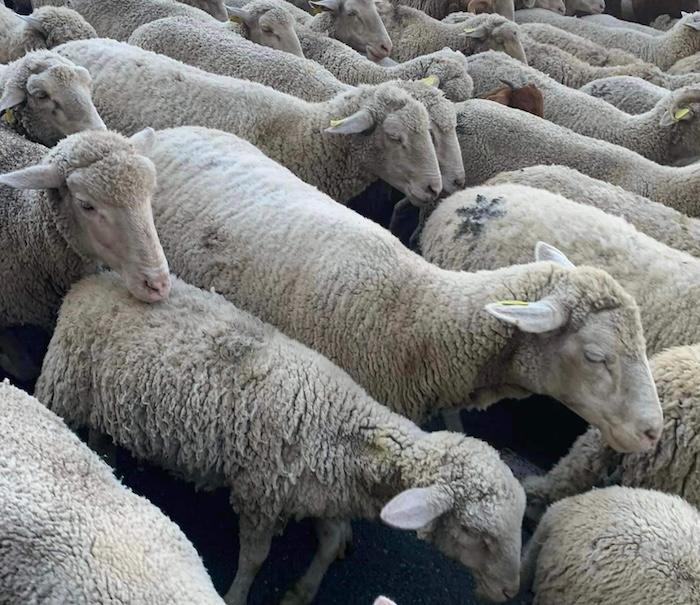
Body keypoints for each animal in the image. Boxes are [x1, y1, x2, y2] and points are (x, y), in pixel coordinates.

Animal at [36, 271, 528, 605]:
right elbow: (254, 560)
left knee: (100, 429)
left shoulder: (323, 495)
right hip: (62, 384)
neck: (345, 430)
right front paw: (235, 596)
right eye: (475, 533)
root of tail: (94, 280)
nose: (510, 591)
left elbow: (329, 544)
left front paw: (301, 591)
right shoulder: (260, 494)